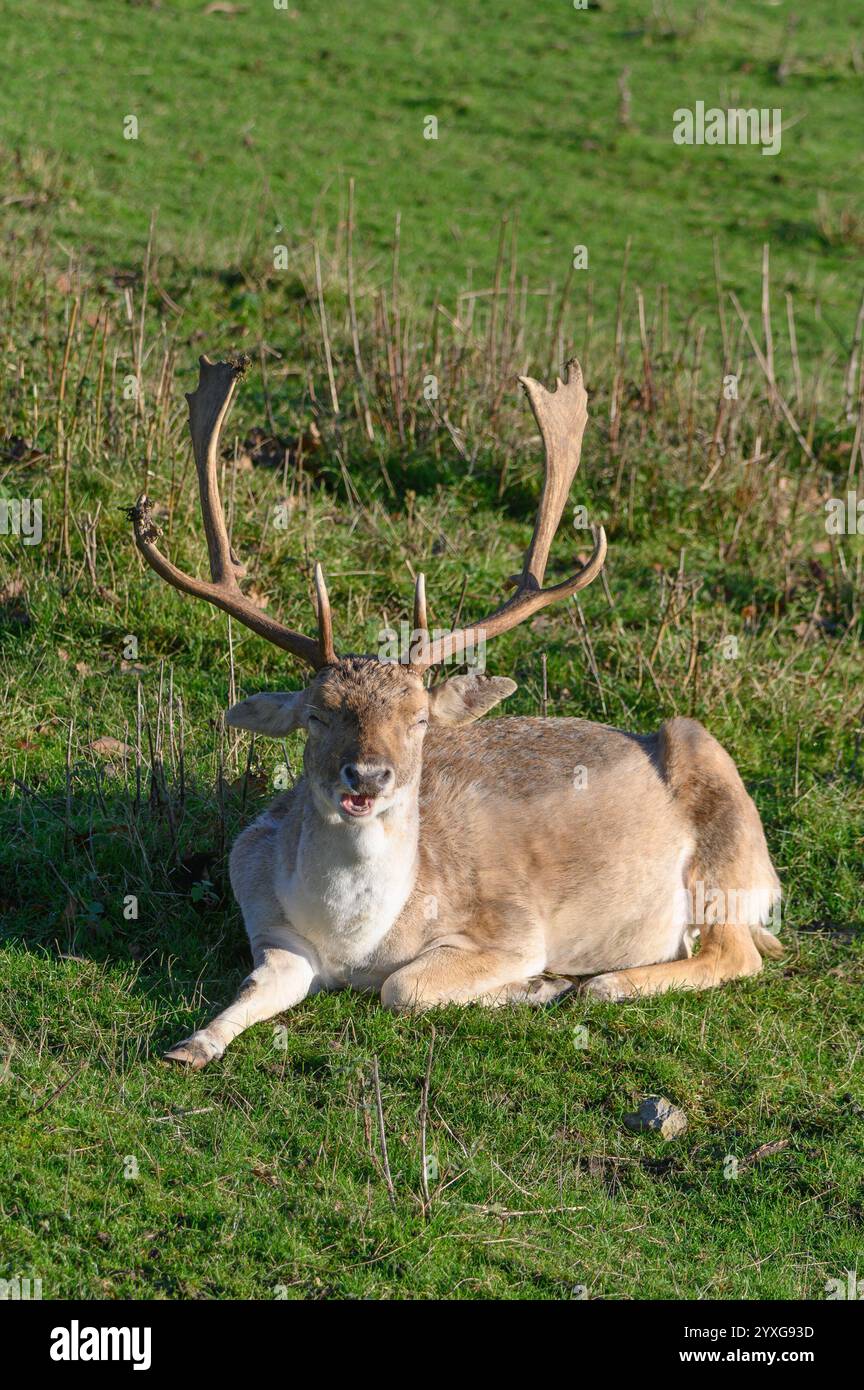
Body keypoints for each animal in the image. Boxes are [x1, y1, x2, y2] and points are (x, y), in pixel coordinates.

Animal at [128, 354, 782, 1068]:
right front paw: (191, 1045)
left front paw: (539, 985)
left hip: (725, 838)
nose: (368, 776)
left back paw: (600, 983)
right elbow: (257, 985)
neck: (356, 943)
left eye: (419, 720)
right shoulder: (265, 916)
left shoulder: (512, 926)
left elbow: (404, 987)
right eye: (316, 714)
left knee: (736, 951)